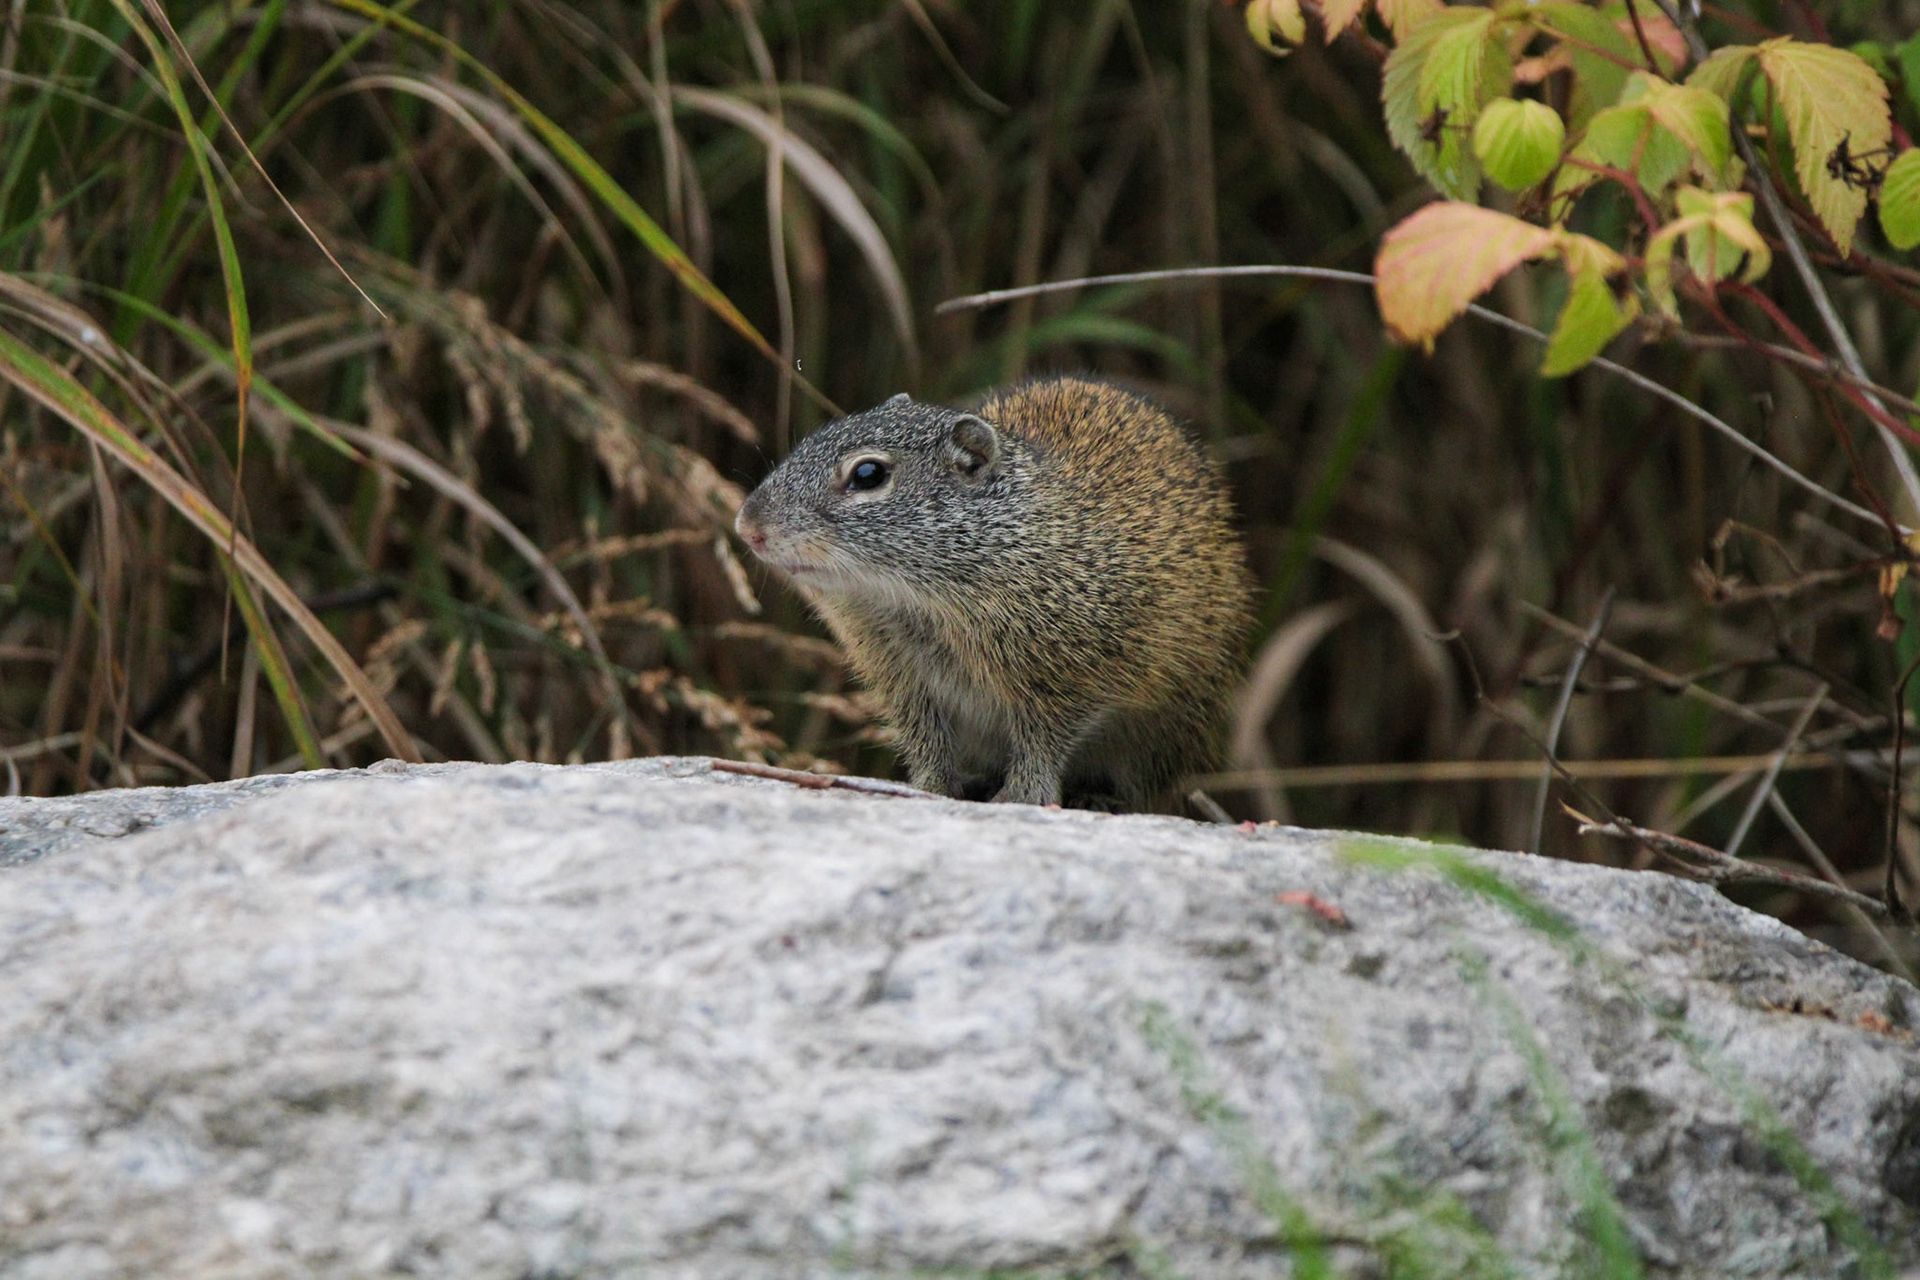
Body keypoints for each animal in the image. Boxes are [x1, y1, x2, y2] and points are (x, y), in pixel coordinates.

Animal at [735, 375, 1253, 812]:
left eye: (868, 475)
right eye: (809, 441)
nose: (748, 526)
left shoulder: (1068, 678)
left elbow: (1043, 743)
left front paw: (1022, 795)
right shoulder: (904, 683)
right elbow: (927, 742)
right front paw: (929, 789)